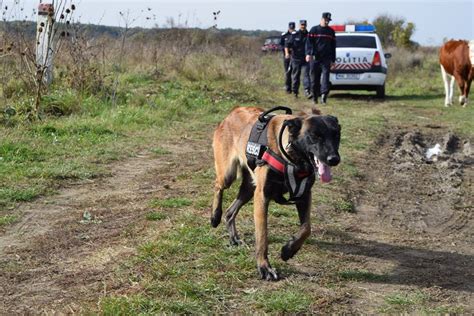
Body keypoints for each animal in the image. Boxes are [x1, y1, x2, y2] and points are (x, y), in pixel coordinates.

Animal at [209, 107, 338, 282]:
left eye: (336, 135)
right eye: (315, 136)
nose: (334, 159)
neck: (292, 158)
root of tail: (232, 113)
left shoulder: (304, 196)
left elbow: (307, 228)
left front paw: (289, 250)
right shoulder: (262, 197)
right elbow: (263, 236)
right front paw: (264, 267)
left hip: (249, 189)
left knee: (230, 212)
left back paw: (234, 238)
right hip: (228, 175)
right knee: (217, 185)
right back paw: (215, 216)